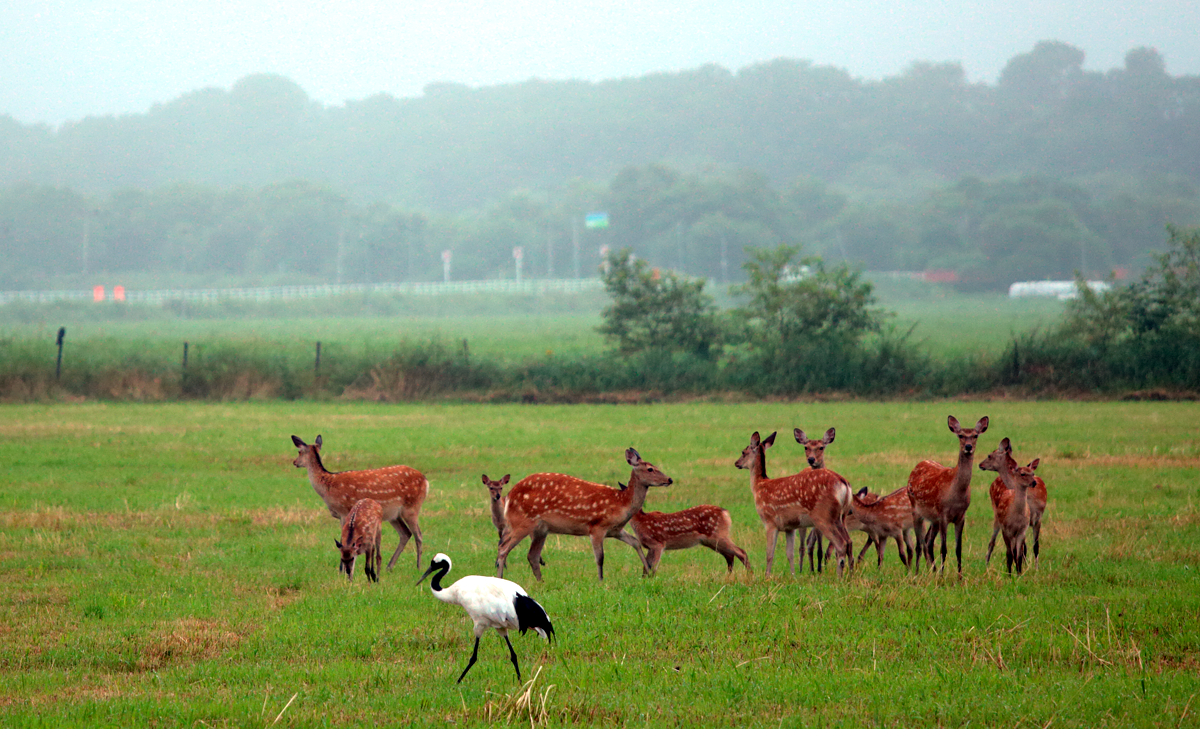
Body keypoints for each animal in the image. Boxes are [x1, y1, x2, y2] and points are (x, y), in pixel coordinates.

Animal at [290, 436, 427, 573]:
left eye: (299, 452)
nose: (294, 462)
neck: (328, 488)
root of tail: (425, 480)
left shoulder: (344, 512)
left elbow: (343, 539)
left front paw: (341, 569)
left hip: (412, 507)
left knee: (418, 535)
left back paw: (418, 566)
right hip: (393, 514)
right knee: (405, 533)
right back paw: (389, 567)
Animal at [492, 443, 672, 580]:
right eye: (650, 469)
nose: (669, 479)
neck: (621, 503)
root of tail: (509, 496)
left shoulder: (615, 530)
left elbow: (635, 542)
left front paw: (649, 571)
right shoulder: (597, 526)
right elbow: (600, 558)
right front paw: (601, 581)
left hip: (540, 529)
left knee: (532, 556)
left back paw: (541, 581)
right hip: (522, 522)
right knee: (503, 549)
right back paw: (501, 578)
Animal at [729, 429, 854, 577]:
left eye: (743, 452)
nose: (736, 463)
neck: (759, 486)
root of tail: (844, 483)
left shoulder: (770, 521)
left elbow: (769, 554)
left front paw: (767, 576)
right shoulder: (790, 526)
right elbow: (790, 553)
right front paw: (793, 575)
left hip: (824, 516)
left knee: (841, 544)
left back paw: (839, 576)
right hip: (841, 517)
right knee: (849, 541)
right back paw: (850, 574)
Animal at [902, 414, 988, 575]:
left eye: (975, 435)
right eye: (961, 435)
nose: (968, 447)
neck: (956, 493)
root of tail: (917, 465)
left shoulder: (961, 516)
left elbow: (958, 549)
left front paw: (959, 576)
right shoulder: (943, 514)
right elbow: (943, 548)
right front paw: (942, 576)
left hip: (933, 519)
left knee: (928, 541)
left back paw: (933, 571)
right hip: (915, 509)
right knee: (919, 544)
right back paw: (917, 573)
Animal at [979, 438, 1046, 575]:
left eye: (989, 455)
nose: (980, 465)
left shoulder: (1035, 518)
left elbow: (1032, 546)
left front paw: (1032, 569)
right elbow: (1020, 549)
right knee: (994, 542)